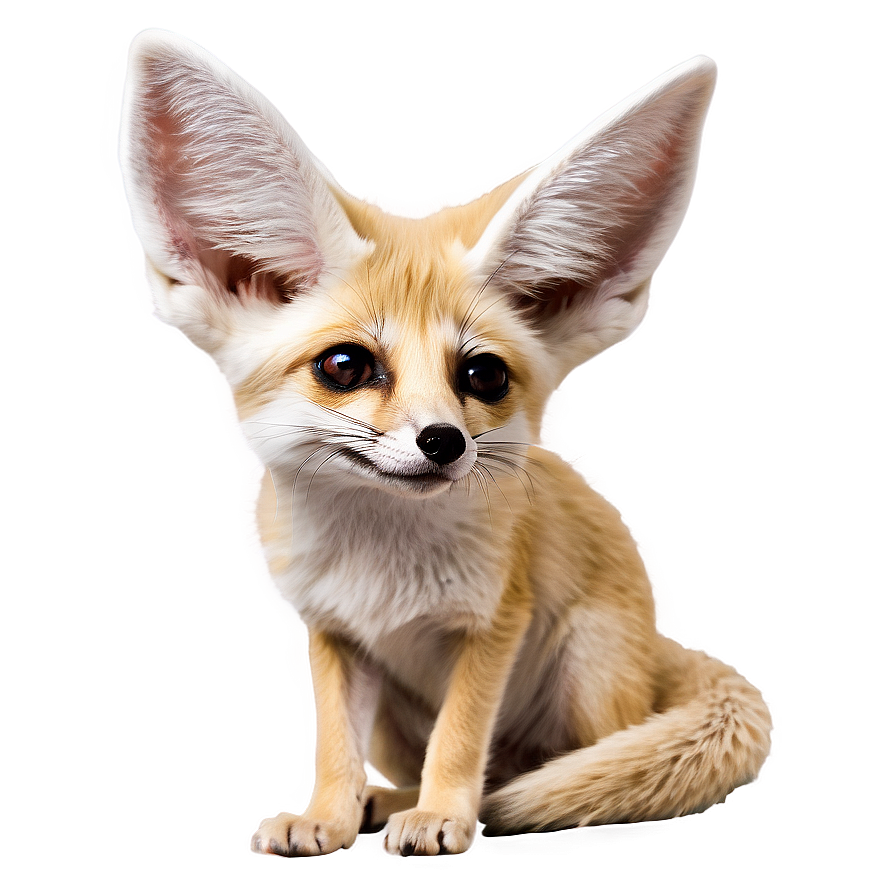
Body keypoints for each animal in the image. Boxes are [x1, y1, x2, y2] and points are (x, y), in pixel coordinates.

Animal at [120, 30, 772, 857]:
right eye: (345, 366)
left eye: (483, 375)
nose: (443, 441)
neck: (383, 571)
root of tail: (656, 644)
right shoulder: (333, 634)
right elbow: (335, 747)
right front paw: (328, 816)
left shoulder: (494, 624)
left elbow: (459, 742)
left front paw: (441, 817)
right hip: (405, 715)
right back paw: (381, 799)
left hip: (586, 661)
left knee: (565, 761)